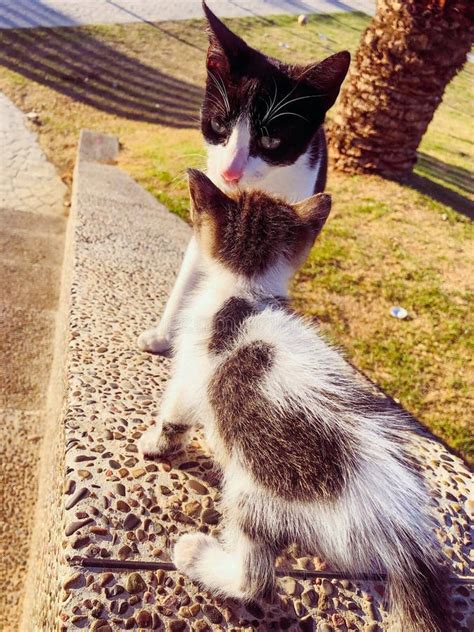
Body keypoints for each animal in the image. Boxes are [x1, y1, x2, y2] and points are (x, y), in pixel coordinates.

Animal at [137, 0, 348, 356]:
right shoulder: (212, 198)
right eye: (219, 124)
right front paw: (163, 334)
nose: (229, 172)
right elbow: (198, 256)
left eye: (271, 141)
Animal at [139, 168, 450, 632]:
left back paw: (197, 555)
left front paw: (155, 443)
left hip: (257, 493)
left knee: (255, 578)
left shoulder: (192, 371)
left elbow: (175, 413)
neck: (246, 292)